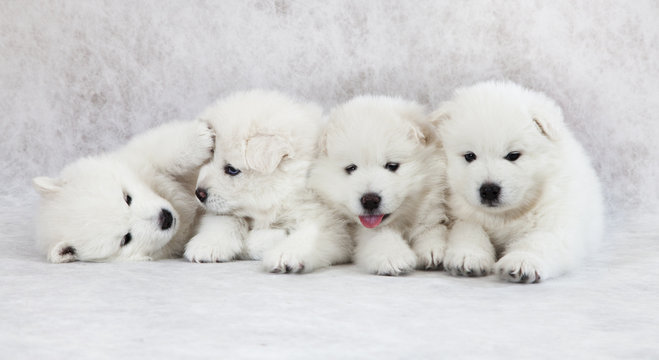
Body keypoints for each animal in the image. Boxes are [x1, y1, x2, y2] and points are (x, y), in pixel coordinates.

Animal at [33, 120, 214, 262]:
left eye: (127, 198)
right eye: (126, 238)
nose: (165, 218)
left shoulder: (140, 160)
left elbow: (158, 150)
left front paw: (200, 138)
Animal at [183, 90, 354, 272]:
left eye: (232, 169)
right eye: (208, 160)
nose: (199, 193)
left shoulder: (330, 222)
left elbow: (312, 233)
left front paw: (286, 254)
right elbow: (224, 219)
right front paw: (207, 244)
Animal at [312, 96, 452, 276]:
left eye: (392, 165)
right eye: (351, 168)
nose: (370, 200)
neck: (401, 221)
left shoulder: (431, 199)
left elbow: (430, 226)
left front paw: (433, 249)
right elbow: (378, 234)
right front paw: (393, 257)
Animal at [434, 81, 604, 284]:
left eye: (513, 155)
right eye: (469, 156)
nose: (489, 190)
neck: (504, 217)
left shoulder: (556, 217)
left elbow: (538, 241)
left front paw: (523, 262)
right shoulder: (460, 214)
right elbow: (468, 229)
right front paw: (468, 256)